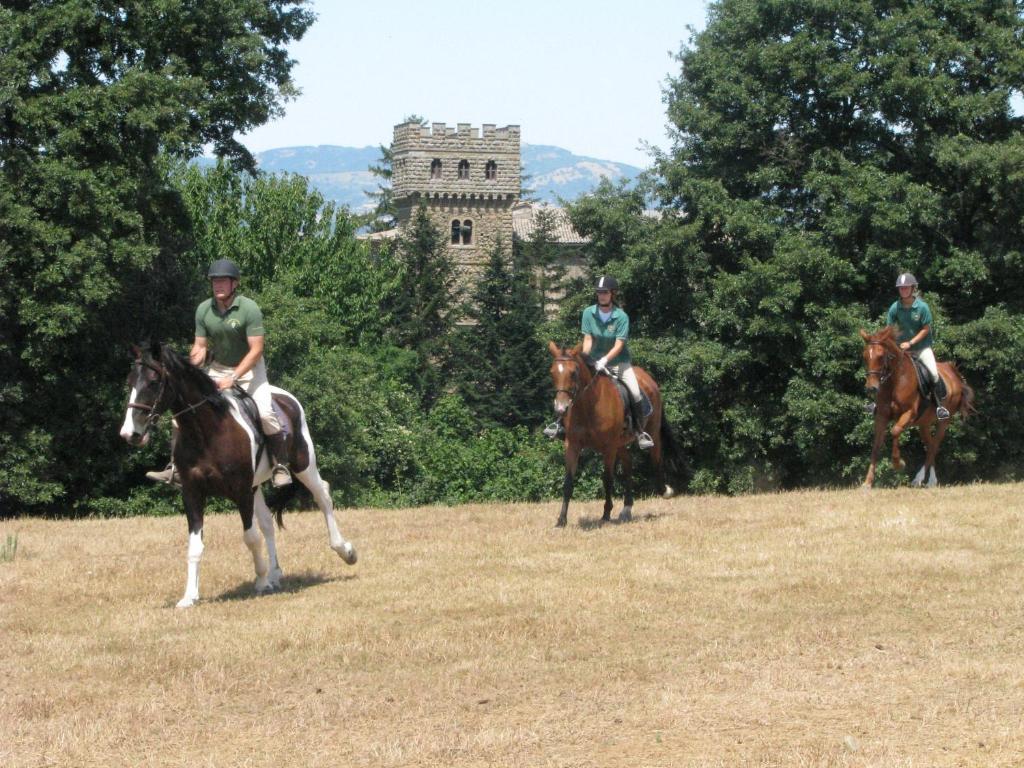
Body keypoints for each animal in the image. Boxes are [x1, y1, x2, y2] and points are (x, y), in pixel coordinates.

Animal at [120, 346, 356, 610]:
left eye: (153, 382)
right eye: (130, 381)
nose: (130, 433)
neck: (207, 432)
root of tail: (286, 398)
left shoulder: (241, 490)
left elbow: (250, 537)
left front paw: (261, 581)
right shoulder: (193, 493)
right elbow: (195, 545)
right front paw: (189, 596)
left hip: (303, 464)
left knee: (322, 496)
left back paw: (344, 551)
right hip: (258, 486)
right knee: (267, 523)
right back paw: (275, 573)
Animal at [548, 342, 684, 528]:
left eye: (573, 372)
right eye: (552, 372)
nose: (561, 409)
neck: (589, 405)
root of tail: (649, 379)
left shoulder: (609, 447)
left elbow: (607, 479)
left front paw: (605, 515)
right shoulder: (573, 445)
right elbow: (568, 481)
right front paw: (561, 520)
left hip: (651, 433)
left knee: (656, 458)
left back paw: (664, 490)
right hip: (620, 443)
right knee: (628, 464)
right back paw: (626, 509)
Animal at [856, 327, 974, 489]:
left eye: (881, 356)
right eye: (865, 356)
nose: (871, 388)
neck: (895, 381)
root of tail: (953, 373)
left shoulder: (909, 413)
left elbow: (895, 431)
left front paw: (898, 464)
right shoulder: (881, 416)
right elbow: (876, 445)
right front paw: (867, 483)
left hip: (944, 421)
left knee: (934, 445)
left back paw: (920, 479)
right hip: (924, 424)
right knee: (930, 445)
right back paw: (929, 481)